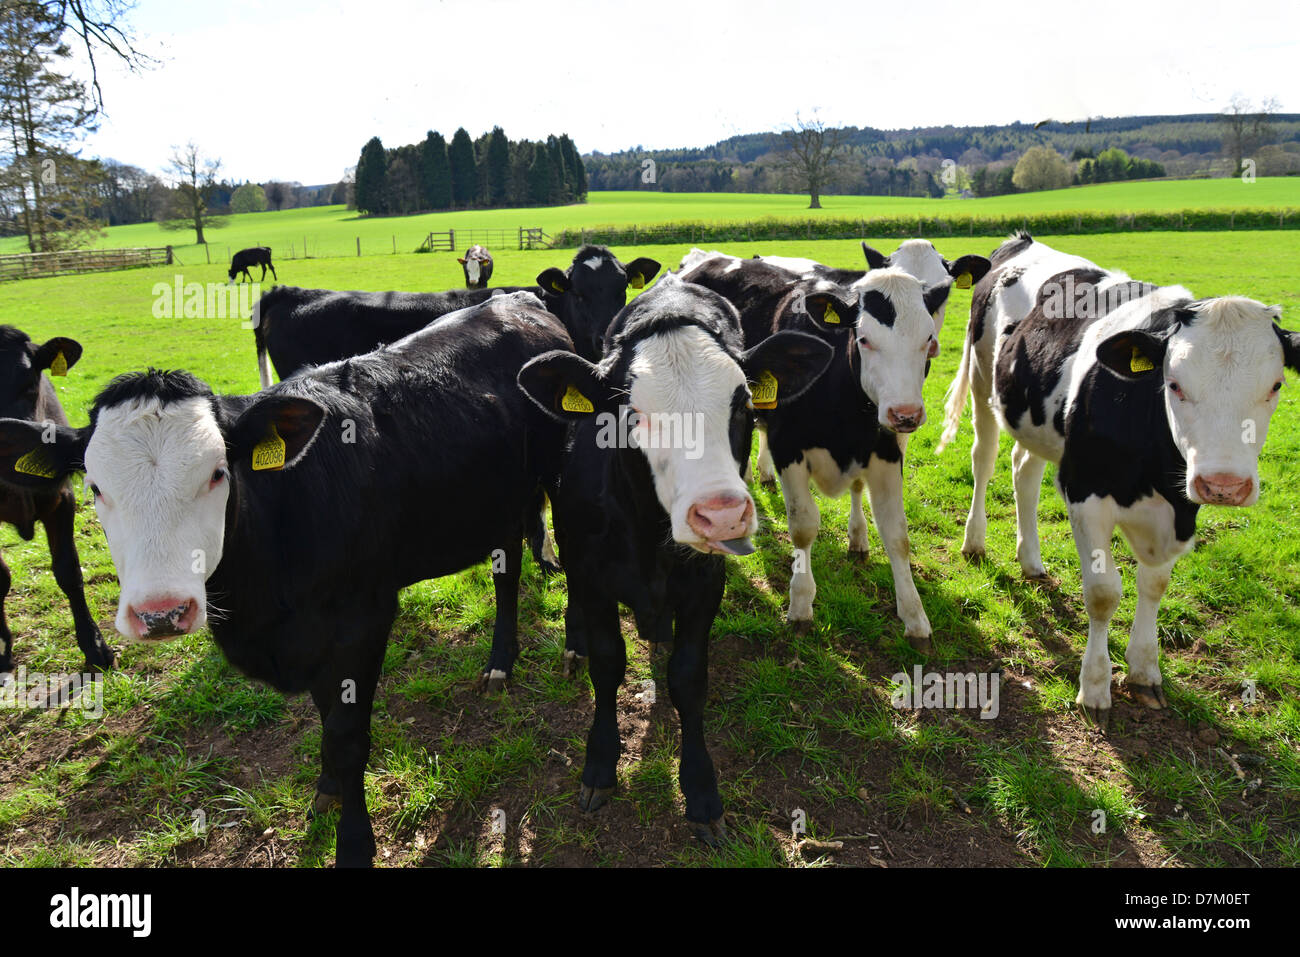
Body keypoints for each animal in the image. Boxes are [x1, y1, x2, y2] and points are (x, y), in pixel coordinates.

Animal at [517, 270, 832, 842]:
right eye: (630, 414)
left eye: (743, 405)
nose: (722, 515)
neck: (647, 537)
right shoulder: (592, 578)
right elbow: (607, 665)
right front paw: (600, 762)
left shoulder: (706, 585)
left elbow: (688, 678)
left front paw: (702, 789)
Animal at [681, 254, 956, 647]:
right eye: (865, 339)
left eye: (928, 340)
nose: (905, 414)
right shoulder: (787, 447)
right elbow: (803, 526)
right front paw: (800, 604)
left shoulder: (886, 452)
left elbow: (897, 535)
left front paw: (915, 617)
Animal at [941, 231, 1294, 722]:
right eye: (1173, 383)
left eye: (1276, 386)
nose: (1224, 484)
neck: (1155, 477)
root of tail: (1019, 241)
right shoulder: (1084, 491)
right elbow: (1104, 593)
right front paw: (1094, 686)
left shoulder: (1180, 511)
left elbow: (1155, 584)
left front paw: (1144, 669)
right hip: (981, 379)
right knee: (985, 457)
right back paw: (974, 541)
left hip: (1035, 420)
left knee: (1024, 471)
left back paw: (1031, 559)